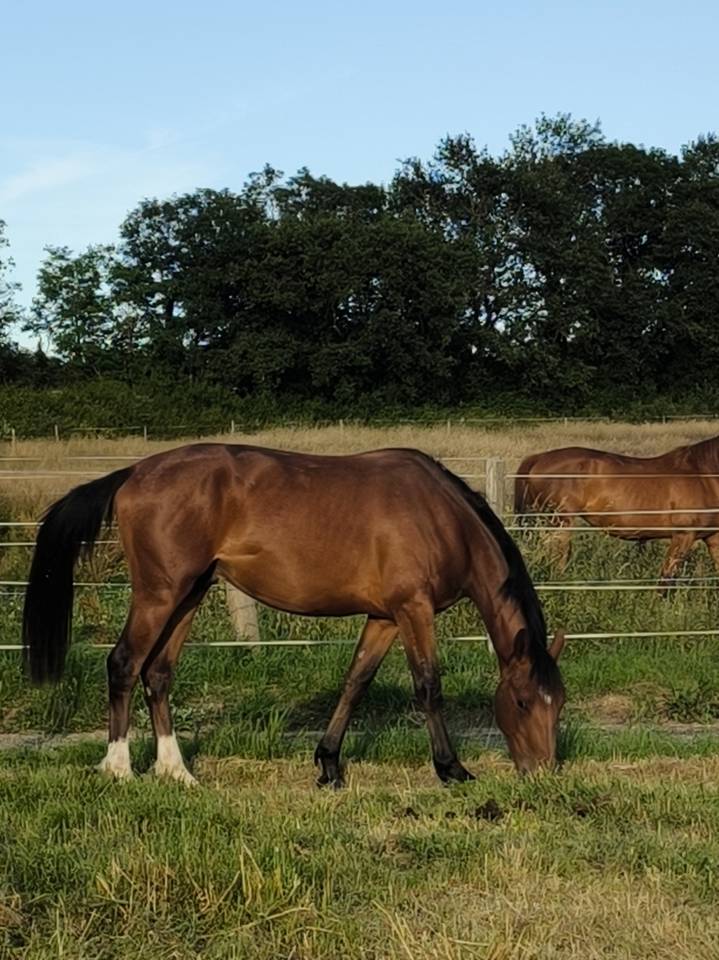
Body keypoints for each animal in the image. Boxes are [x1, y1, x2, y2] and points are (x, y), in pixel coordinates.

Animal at [23, 443, 566, 785]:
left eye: (558, 703)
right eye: (522, 702)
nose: (544, 772)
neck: (441, 516)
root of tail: (133, 473)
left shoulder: (385, 617)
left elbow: (355, 682)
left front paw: (328, 765)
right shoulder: (414, 609)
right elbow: (428, 685)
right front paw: (451, 769)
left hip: (189, 594)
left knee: (158, 673)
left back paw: (176, 771)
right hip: (159, 594)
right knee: (124, 663)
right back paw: (118, 768)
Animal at [515, 435, 719, 586]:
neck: (704, 475)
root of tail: (539, 457)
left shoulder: (713, 538)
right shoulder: (683, 536)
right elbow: (666, 579)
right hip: (559, 523)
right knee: (558, 561)